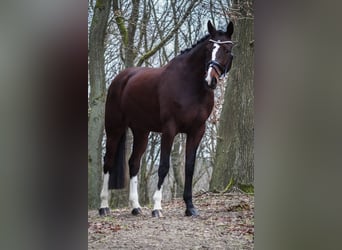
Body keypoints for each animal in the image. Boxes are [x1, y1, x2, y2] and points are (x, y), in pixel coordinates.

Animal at [97, 21, 234, 217]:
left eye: (227, 50)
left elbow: (189, 167)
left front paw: (190, 207)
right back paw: (104, 206)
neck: (190, 85)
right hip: (114, 128)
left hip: (141, 131)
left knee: (134, 163)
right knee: (108, 162)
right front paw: (157, 207)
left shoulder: (197, 131)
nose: (211, 79)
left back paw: (135, 207)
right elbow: (163, 166)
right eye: (209, 49)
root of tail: (121, 79)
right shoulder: (170, 129)